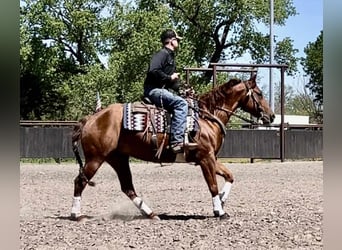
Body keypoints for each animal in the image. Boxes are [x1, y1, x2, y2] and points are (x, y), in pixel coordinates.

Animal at [71, 74, 274, 221]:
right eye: (260, 93)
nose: (271, 116)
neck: (206, 116)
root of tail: (90, 118)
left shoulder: (209, 158)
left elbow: (230, 176)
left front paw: (222, 202)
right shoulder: (205, 158)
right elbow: (213, 186)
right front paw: (220, 211)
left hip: (118, 159)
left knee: (128, 187)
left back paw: (151, 214)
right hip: (95, 159)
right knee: (80, 181)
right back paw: (76, 215)